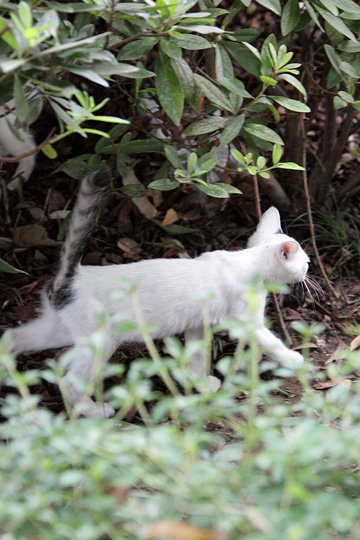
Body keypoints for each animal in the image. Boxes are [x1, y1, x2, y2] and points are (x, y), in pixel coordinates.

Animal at [2, 169, 310, 418]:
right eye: (306, 262)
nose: (308, 272)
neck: (248, 262)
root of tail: (69, 276)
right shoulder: (245, 322)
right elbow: (272, 342)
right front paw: (295, 361)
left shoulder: (199, 324)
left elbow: (197, 357)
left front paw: (200, 383)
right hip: (100, 339)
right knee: (69, 382)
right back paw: (93, 410)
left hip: (59, 329)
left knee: (12, 337)